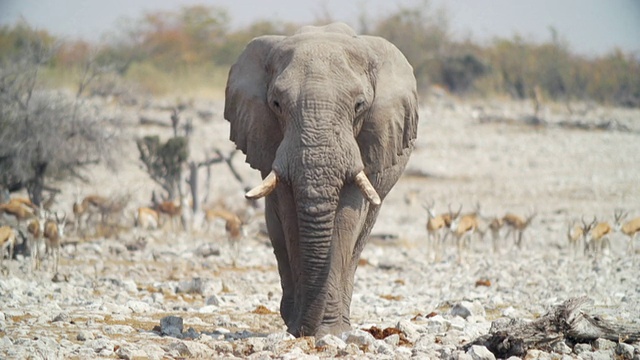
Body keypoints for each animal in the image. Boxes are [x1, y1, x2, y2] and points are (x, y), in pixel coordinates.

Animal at [225, 22, 420, 338]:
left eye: (359, 105)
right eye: (276, 104)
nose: (304, 329)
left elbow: (346, 219)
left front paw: (329, 332)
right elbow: (290, 216)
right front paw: (302, 328)